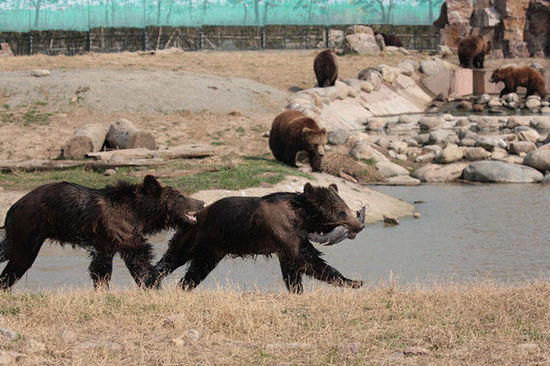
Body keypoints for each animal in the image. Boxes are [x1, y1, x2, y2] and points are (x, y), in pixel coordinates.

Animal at [0, 176, 205, 290]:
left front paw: (101, 288)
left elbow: (101, 267)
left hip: (23, 232)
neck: (140, 214)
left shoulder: (107, 242)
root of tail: (12, 207)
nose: (201, 201)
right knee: (20, 260)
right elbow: (139, 259)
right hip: (29, 228)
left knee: (7, 249)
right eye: (181, 196)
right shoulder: (122, 232)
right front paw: (151, 283)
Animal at [149, 183, 368, 294]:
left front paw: (297, 290)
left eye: (346, 207)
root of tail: (194, 214)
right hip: (197, 235)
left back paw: (183, 287)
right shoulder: (284, 231)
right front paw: (353, 281)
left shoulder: (286, 244)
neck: (302, 217)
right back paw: (151, 279)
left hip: (213, 249)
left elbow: (292, 270)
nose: (359, 225)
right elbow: (308, 260)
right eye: (341, 211)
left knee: (196, 271)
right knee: (174, 257)